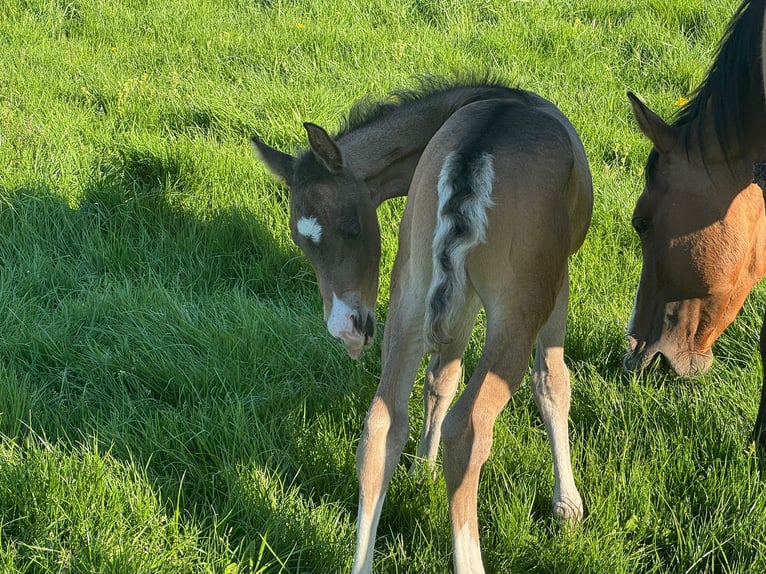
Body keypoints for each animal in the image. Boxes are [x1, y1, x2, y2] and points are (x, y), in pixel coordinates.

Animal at [250, 79, 593, 573]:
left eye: (352, 226)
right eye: (302, 241)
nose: (344, 328)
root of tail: (474, 152)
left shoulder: (454, 295)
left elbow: (439, 377)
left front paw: (420, 470)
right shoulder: (556, 280)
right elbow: (552, 381)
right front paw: (567, 505)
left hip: (409, 295)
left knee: (382, 424)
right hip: (518, 308)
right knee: (468, 430)